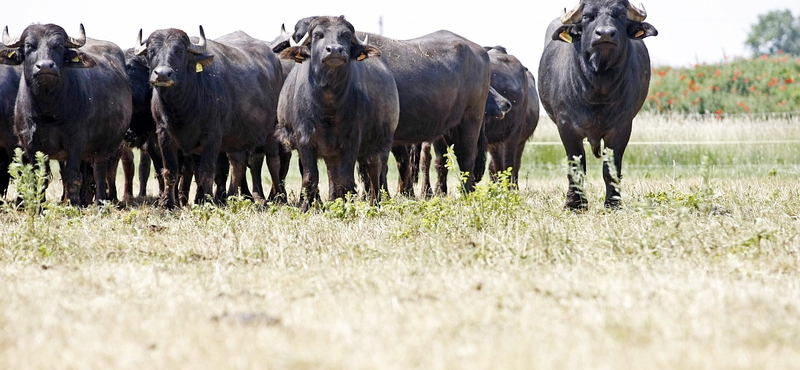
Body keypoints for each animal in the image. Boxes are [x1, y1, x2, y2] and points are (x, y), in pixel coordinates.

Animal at [0, 24, 131, 205]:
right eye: (29, 46)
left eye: (59, 46)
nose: (45, 66)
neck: (49, 113)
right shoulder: (29, 143)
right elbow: (39, 177)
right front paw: (39, 207)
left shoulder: (76, 141)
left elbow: (73, 177)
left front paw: (73, 205)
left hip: (104, 146)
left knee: (100, 173)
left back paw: (99, 203)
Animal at [136, 26, 286, 208]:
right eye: (151, 51)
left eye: (179, 50)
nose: (163, 74)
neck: (181, 107)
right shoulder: (164, 134)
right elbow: (171, 171)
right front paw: (168, 204)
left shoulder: (212, 136)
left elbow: (206, 172)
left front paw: (206, 202)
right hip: (236, 137)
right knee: (238, 165)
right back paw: (230, 197)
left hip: (271, 131)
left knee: (273, 162)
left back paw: (278, 198)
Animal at [276, 15, 398, 211]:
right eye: (317, 35)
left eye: (346, 35)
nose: (334, 50)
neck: (329, 105)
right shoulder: (304, 140)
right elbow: (310, 178)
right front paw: (306, 207)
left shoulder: (351, 140)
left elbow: (346, 180)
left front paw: (344, 207)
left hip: (382, 142)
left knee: (376, 171)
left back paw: (375, 203)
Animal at [282, 17, 494, 197]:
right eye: (304, 35)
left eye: (346, 36)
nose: (333, 50)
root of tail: (480, 51)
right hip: (449, 129)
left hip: (470, 121)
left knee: (467, 160)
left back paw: (465, 195)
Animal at [536, 0, 656, 210]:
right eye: (587, 16)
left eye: (620, 15)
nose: (605, 34)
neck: (598, 89)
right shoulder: (566, 127)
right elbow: (576, 165)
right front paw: (575, 204)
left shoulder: (622, 127)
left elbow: (611, 168)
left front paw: (613, 203)